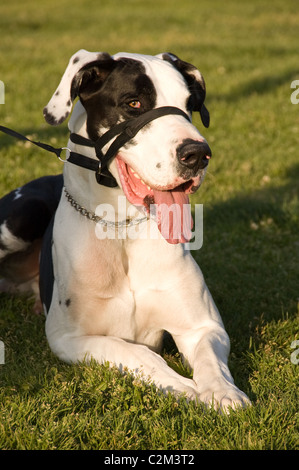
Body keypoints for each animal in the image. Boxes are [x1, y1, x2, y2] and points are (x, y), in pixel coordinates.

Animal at [0, 50, 251, 412]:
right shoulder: (70, 338)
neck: (120, 228)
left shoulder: (203, 326)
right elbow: (137, 353)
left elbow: (211, 362)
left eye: (189, 103)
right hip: (24, 214)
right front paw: (184, 387)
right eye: (133, 104)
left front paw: (223, 393)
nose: (197, 154)